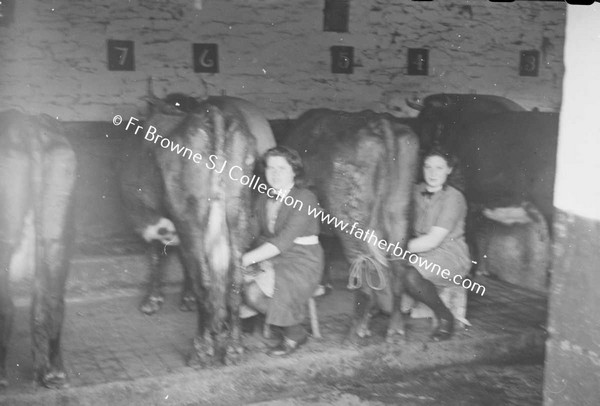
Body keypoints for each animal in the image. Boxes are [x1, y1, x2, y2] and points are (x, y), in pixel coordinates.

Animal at [138, 95, 276, 364]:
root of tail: (213, 113)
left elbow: (155, 253)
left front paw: (152, 301)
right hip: (237, 211)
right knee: (235, 278)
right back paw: (233, 347)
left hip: (190, 218)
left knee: (204, 279)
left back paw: (202, 348)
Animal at [282, 109, 418, 344]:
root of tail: (379, 122)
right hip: (400, 209)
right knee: (397, 264)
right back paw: (394, 328)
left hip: (348, 216)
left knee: (363, 264)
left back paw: (356, 331)